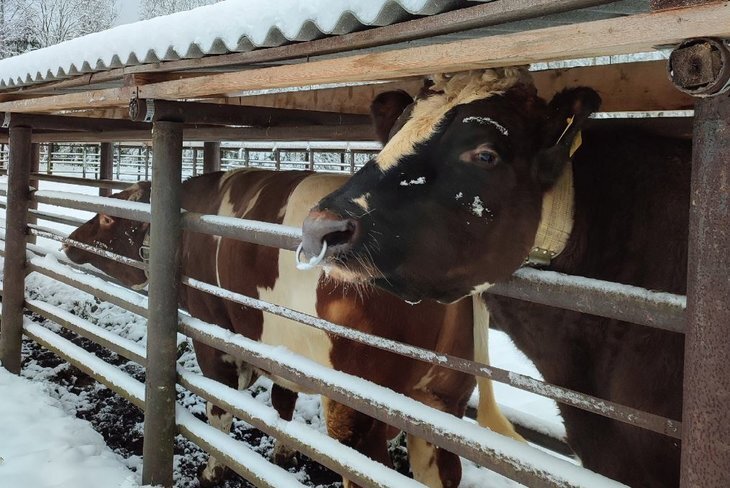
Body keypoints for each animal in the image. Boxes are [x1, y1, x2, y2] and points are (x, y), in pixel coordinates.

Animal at [62, 169, 516, 488]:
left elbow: (219, 407)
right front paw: (283, 455)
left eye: (107, 217)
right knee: (441, 470)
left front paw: (211, 473)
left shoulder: (213, 333)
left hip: (360, 404)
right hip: (443, 399)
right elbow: (283, 399)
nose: (69, 241)